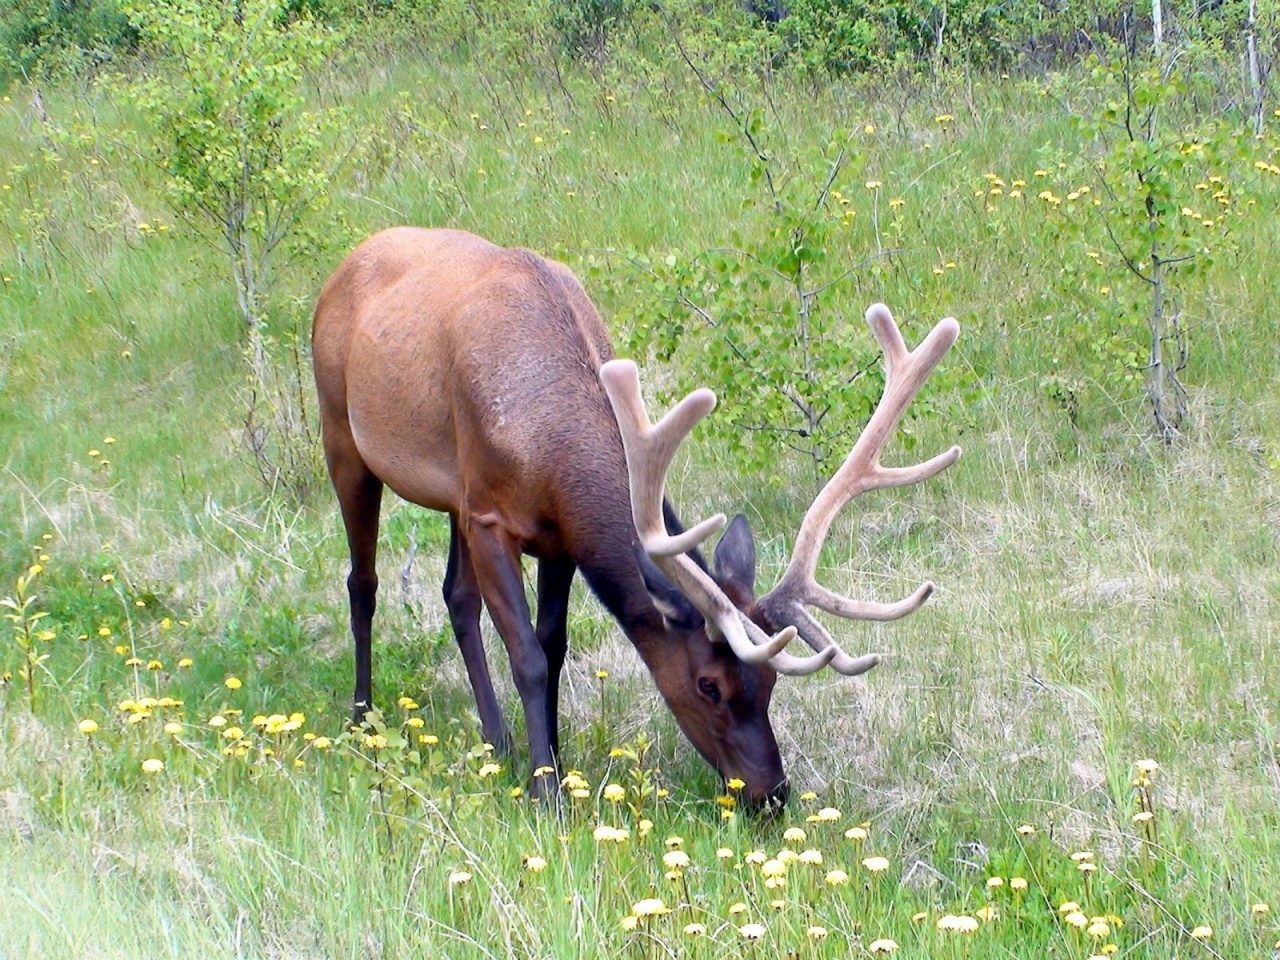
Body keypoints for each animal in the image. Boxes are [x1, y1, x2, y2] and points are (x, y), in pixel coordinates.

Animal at [312, 229, 962, 808]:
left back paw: (497, 742)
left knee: (456, 595)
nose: (772, 794)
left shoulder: (552, 536)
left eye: (771, 684)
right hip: (342, 437)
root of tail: (345, 263)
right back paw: (362, 715)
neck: (547, 448)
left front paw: (551, 761)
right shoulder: (491, 516)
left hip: (451, 497)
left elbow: (553, 646)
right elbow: (527, 657)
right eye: (708, 684)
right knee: (362, 583)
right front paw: (547, 794)